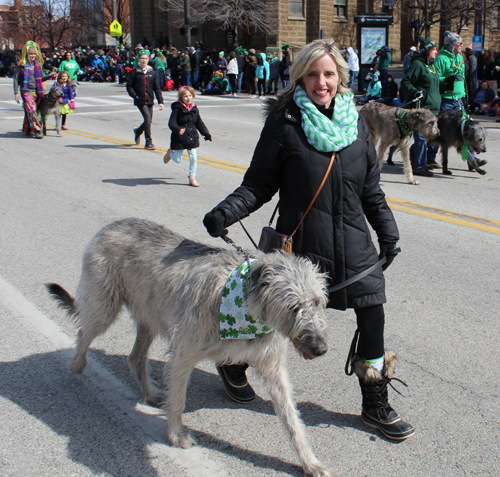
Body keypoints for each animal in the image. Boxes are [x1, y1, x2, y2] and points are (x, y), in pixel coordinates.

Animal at [47, 218, 336, 476]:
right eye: (293, 306)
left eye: (318, 301)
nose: (321, 348)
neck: (246, 308)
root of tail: (112, 224)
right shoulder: (185, 352)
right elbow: (178, 399)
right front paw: (176, 435)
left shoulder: (271, 364)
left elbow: (291, 416)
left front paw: (310, 462)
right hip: (104, 304)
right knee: (85, 331)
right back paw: (77, 364)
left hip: (149, 314)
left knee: (135, 357)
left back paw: (149, 392)